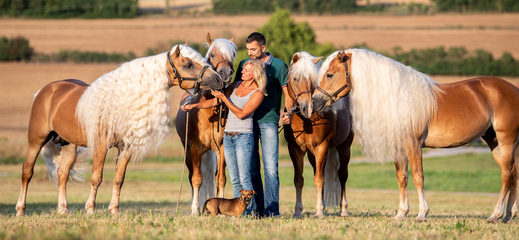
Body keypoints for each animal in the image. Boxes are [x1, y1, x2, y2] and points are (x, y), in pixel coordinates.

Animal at [15, 44, 223, 217]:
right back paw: (20, 210)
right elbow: (96, 178)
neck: (120, 102)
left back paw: (63, 210)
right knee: (27, 172)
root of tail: (46, 90)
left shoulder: (125, 148)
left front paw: (114, 210)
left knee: (62, 174)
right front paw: (90, 209)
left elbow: (118, 179)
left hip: (69, 145)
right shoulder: (101, 145)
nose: (218, 79)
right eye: (188, 64)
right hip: (36, 140)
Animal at [176, 33, 239, 216]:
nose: (225, 73)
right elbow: (197, 179)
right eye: (212, 54)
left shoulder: (222, 148)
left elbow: (221, 179)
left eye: (233, 54)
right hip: (188, 152)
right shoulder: (195, 148)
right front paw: (195, 210)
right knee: (192, 177)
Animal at [282, 52, 356, 218]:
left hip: (344, 147)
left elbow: (319, 180)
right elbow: (299, 180)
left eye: (312, 80)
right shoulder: (295, 150)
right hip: (312, 154)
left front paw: (319, 212)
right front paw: (298, 211)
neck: (305, 121)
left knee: (342, 175)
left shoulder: (322, 147)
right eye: (295, 78)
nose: (308, 108)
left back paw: (343, 210)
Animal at [312, 48, 519, 223]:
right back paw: (509, 215)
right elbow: (402, 177)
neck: (398, 98)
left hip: (506, 140)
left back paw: (496, 215)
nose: (314, 102)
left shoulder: (414, 145)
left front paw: (422, 214)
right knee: (513, 174)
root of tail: (513, 90)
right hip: (494, 142)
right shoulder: (399, 148)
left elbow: (418, 177)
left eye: (329, 74)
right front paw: (401, 213)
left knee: (506, 176)